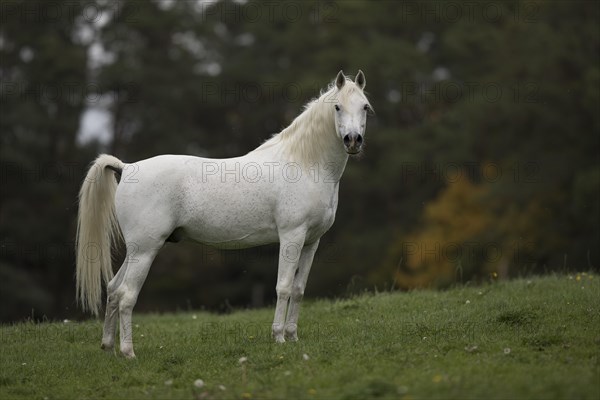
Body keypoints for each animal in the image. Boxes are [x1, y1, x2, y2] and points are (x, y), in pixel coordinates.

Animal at [76, 70, 370, 358]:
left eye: (365, 106)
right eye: (337, 107)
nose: (353, 140)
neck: (305, 164)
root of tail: (126, 167)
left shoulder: (311, 242)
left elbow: (298, 290)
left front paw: (293, 336)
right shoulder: (292, 237)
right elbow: (284, 286)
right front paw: (278, 338)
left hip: (136, 250)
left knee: (114, 290)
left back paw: (108, 346)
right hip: (145, 250)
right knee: (126, 295)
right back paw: (128, 352)